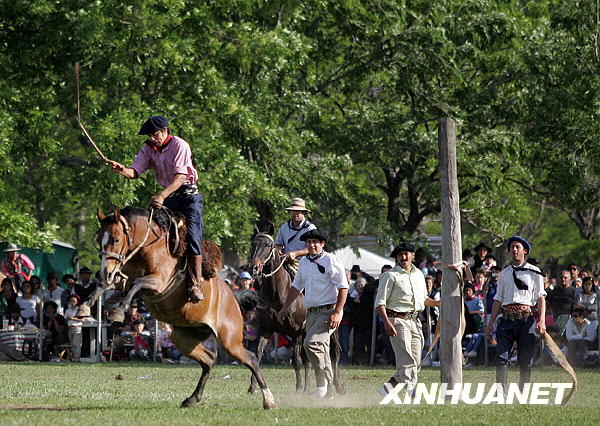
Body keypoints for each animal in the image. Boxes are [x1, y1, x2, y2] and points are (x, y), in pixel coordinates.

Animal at [82, 206, 276, 410]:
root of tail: (233, 298)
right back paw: (192, 398)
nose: (105, 270)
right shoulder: (122, 279)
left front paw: (119, 311)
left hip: (230, 340)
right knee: (208, 360)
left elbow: (137, 283)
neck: (149, 248)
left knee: (251, 359)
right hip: (183, 337)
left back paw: (268, 400)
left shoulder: (159, 282)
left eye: (116, 239)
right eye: (100, 239)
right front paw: (85, 306)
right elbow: (107, 284)